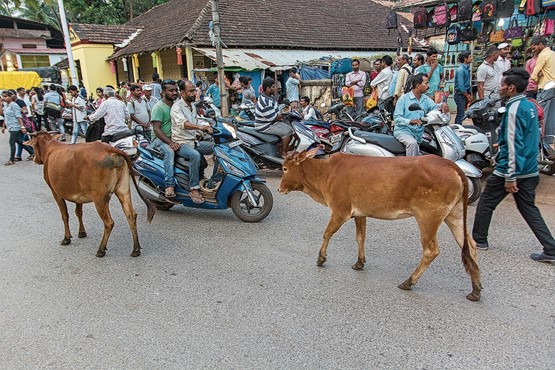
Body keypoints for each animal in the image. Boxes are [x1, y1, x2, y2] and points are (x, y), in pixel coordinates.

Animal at [24, 132, 155, 258]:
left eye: (34, 146)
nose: (34, 158)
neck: (50, 150)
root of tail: (110, 149)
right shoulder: (78, 196)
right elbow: (79, 212)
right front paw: (82, 232)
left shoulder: (55, 192)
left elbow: (65, 215)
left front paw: (66, 238)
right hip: (123, 190)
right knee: (131, 215)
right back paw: (136, 249)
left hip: (99, 198)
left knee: (109, 222)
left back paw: (101, 250)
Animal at [278, 149, 482, 302]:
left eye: (285, 168)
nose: (279, 188)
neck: (326, 173)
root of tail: (451, 165)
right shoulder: (360, 213)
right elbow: (360, 237)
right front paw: (359, 262)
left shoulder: (340, 211)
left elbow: (327, 233)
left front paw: (321, 258)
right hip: (454, 215)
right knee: (470, 245)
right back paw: (476, 289)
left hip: (428, 217)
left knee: (431, 250)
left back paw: (408, 282)